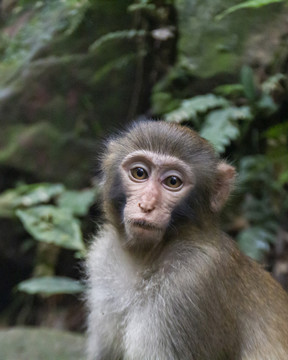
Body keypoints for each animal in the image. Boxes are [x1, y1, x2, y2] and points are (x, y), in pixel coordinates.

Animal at [86, 119, 288, 358]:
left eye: (173, 181)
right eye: (139, 173)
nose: (146, 205)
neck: (145, 257)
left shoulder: (190, 284)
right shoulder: (102, 259)